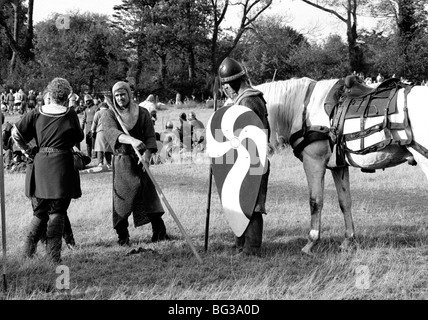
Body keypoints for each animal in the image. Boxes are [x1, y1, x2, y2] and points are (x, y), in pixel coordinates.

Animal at [256, 77, 428, 255]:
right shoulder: (339, 167)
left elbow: (315, 201)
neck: (304, 106)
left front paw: (311, 242)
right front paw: (348, 240)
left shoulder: (314, 162)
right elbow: (345, 201)